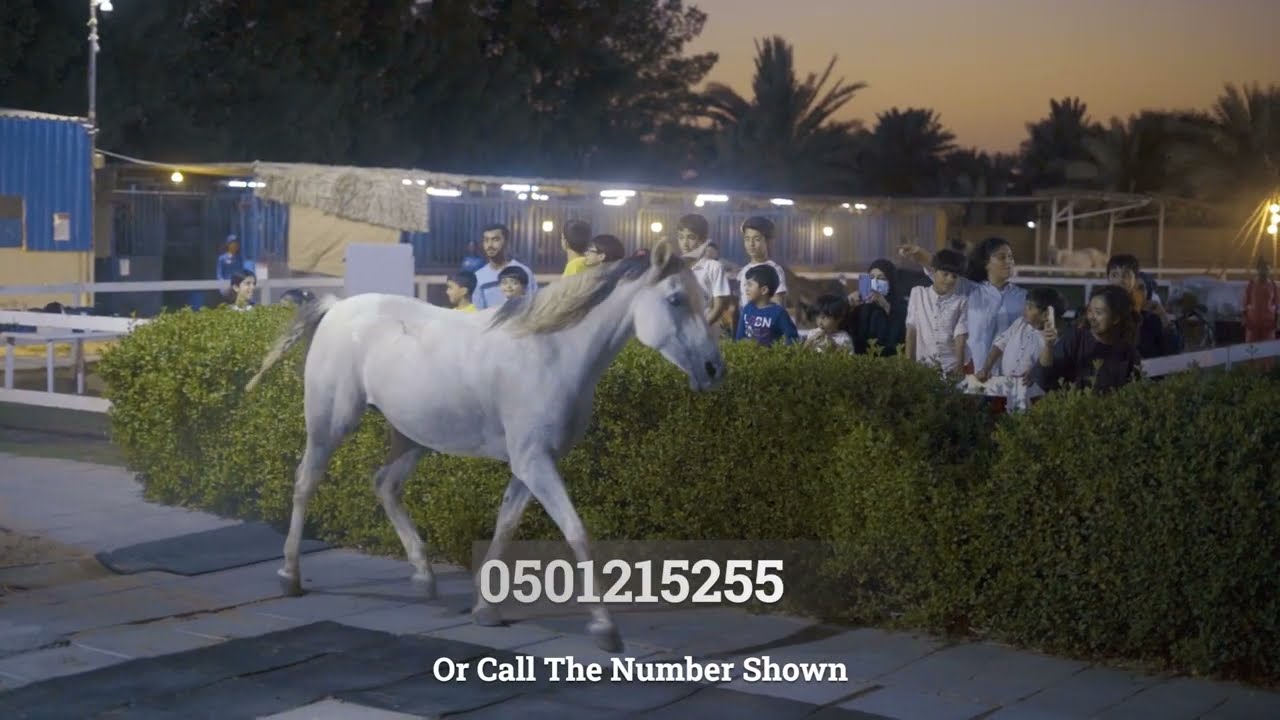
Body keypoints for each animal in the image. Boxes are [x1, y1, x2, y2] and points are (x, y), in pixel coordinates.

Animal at [243, 241, 725, 653]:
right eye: (676, 299)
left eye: (703, 296)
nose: (713, 369)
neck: (552, 352)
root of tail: (336, 306)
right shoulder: (534, 462)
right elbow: (576, 532)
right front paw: (605, 628)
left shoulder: (531, 462)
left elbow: (506, 523)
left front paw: (485, 608)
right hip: (331, 422)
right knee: (306, 481)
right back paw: (290, 575)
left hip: (412, 435)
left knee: (384, 484)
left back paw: (424, 576)